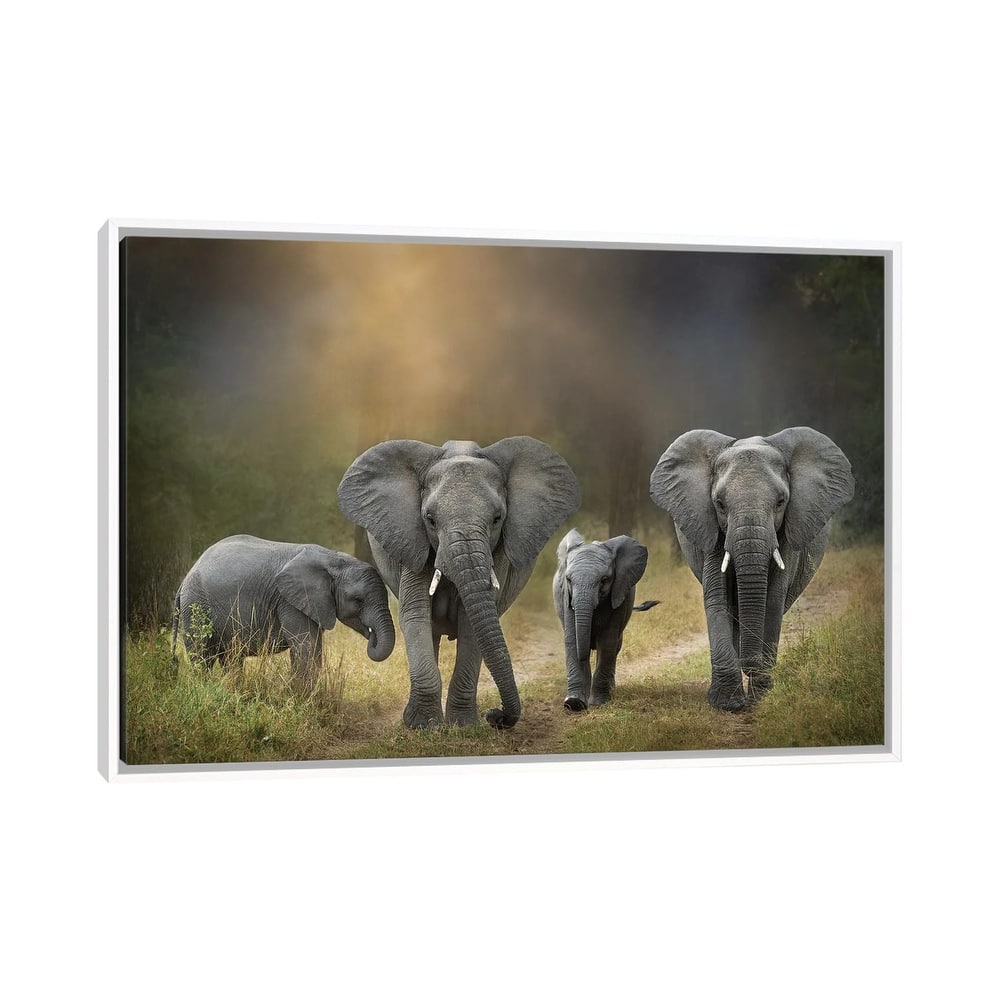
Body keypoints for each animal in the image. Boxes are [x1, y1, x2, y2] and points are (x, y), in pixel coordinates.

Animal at [171, 534, 396, 693]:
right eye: (358, 601)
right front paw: (301, 697)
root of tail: (183, 582)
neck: (333, 559)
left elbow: (310, 649)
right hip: (196, 606)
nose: (371, 635)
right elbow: (306, 647)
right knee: (203, 655)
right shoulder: (289, 602)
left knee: (230, 658)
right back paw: (207, 689)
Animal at [338, 437, 581, 729]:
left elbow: (471, 622)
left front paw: (462, 725)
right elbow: (415, 614)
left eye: (497, 519)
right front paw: (424, 726)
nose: (496, 716)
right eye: (430, 519)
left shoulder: (498, 552)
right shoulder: (413, 540)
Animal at [553, 528, 659, 711]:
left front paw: (598, 702)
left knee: (615, 646)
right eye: (568, 580)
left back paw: (609, 688)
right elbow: (572, 640)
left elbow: (607, 642)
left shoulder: (619, 595)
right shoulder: (566, 597)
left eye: (604, 580)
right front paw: (574, 704)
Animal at [649, 427, 854, 711]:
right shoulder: (711, 529)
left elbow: (773, 599)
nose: (750, 664)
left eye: (781, 502)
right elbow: (718, 598)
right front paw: (728, 704)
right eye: (720, 503)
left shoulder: (787, 534)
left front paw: (761, 700)